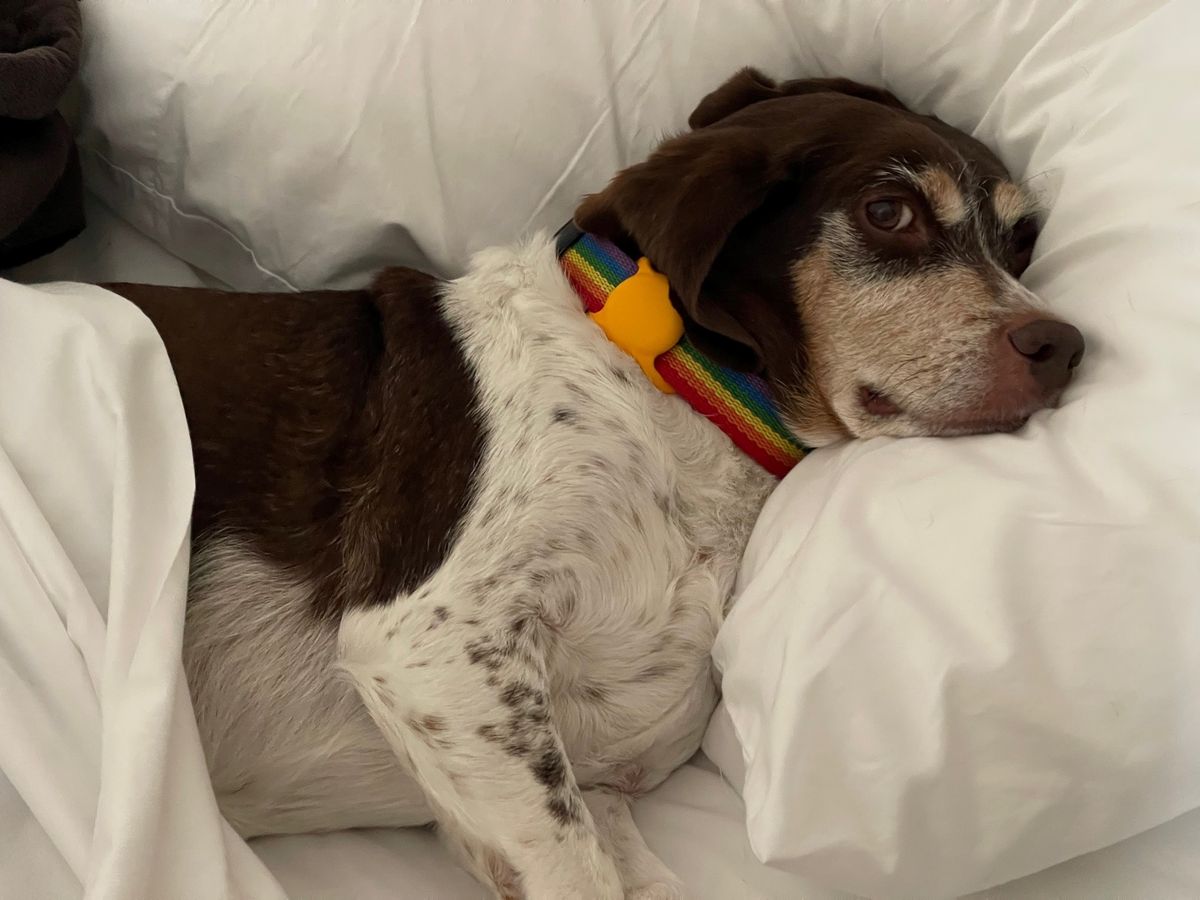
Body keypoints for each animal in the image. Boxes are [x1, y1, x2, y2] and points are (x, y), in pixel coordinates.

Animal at [110, 72, 1089, 900]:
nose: (1065, 345)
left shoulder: (579, 778)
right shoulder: (427, 645)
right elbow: (578, 868)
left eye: (1021, 242)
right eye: (891, 212)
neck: (673, 395)